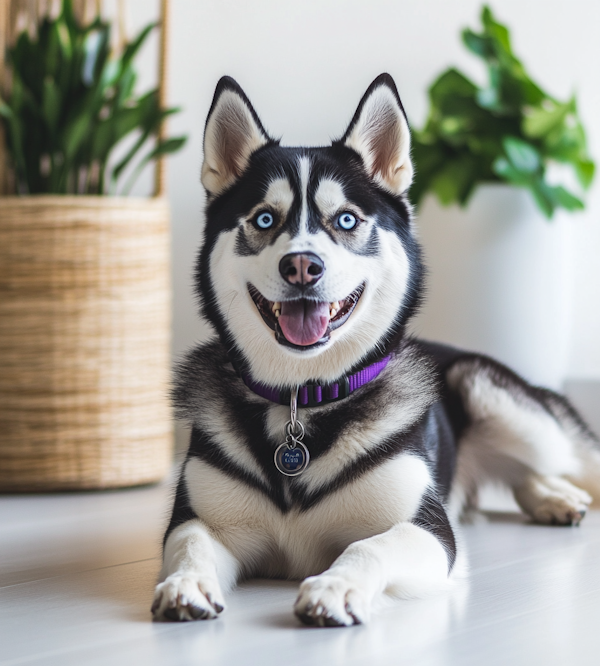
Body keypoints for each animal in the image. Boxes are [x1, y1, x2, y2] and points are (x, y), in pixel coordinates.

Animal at [151, 75, 600, 624]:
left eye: (345, 220)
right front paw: (185, 584)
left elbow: (368, 546)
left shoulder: (427, 529)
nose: (302, 266)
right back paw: (551, 496)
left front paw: (335, 586)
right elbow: (190, 541)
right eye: (264, 220)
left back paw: (559, 490)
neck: (301, 402)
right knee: (519, 475)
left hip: (498, 400)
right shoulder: (202, 517)